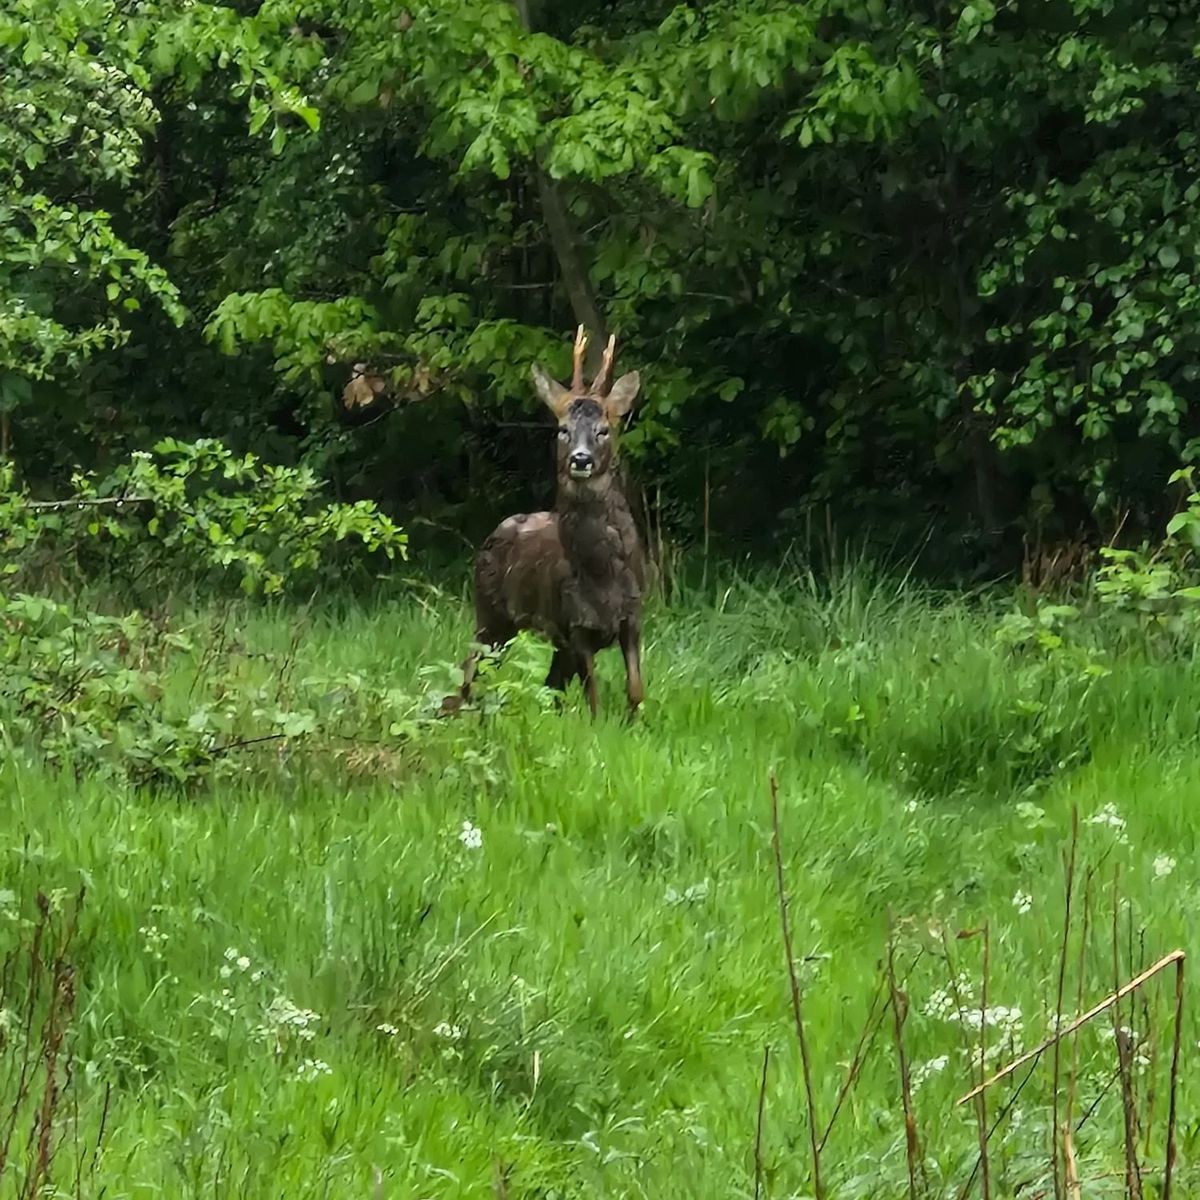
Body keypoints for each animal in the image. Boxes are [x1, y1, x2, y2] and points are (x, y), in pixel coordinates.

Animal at [451, 324, 643, 715]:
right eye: (562, 429)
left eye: (604, 429)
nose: (581, 459)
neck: (602, 577)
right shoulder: (575, 626)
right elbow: (595, 701)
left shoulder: (632, 617)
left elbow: (635, 693)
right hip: (490, 614)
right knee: (470, 673)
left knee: (548, 685)